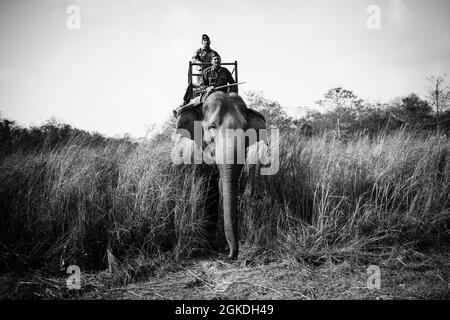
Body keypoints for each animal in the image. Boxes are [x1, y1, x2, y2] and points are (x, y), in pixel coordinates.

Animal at [171, 90, 264, 260]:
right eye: (212, 127)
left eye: (245, 128)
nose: (231, 255)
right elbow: (202, 184)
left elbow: (222, 185)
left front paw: (219, 244)